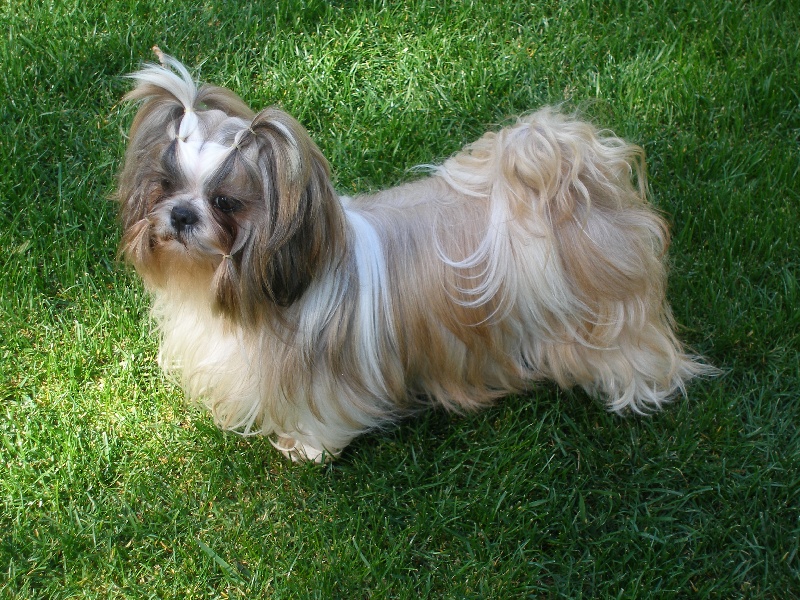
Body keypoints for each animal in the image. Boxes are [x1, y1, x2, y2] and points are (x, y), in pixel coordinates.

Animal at [117, 50, 708, 464]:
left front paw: (307, 448)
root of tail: (577, 177)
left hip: (607, 317)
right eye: (166, 186)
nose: (181, 216)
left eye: (225, 203)